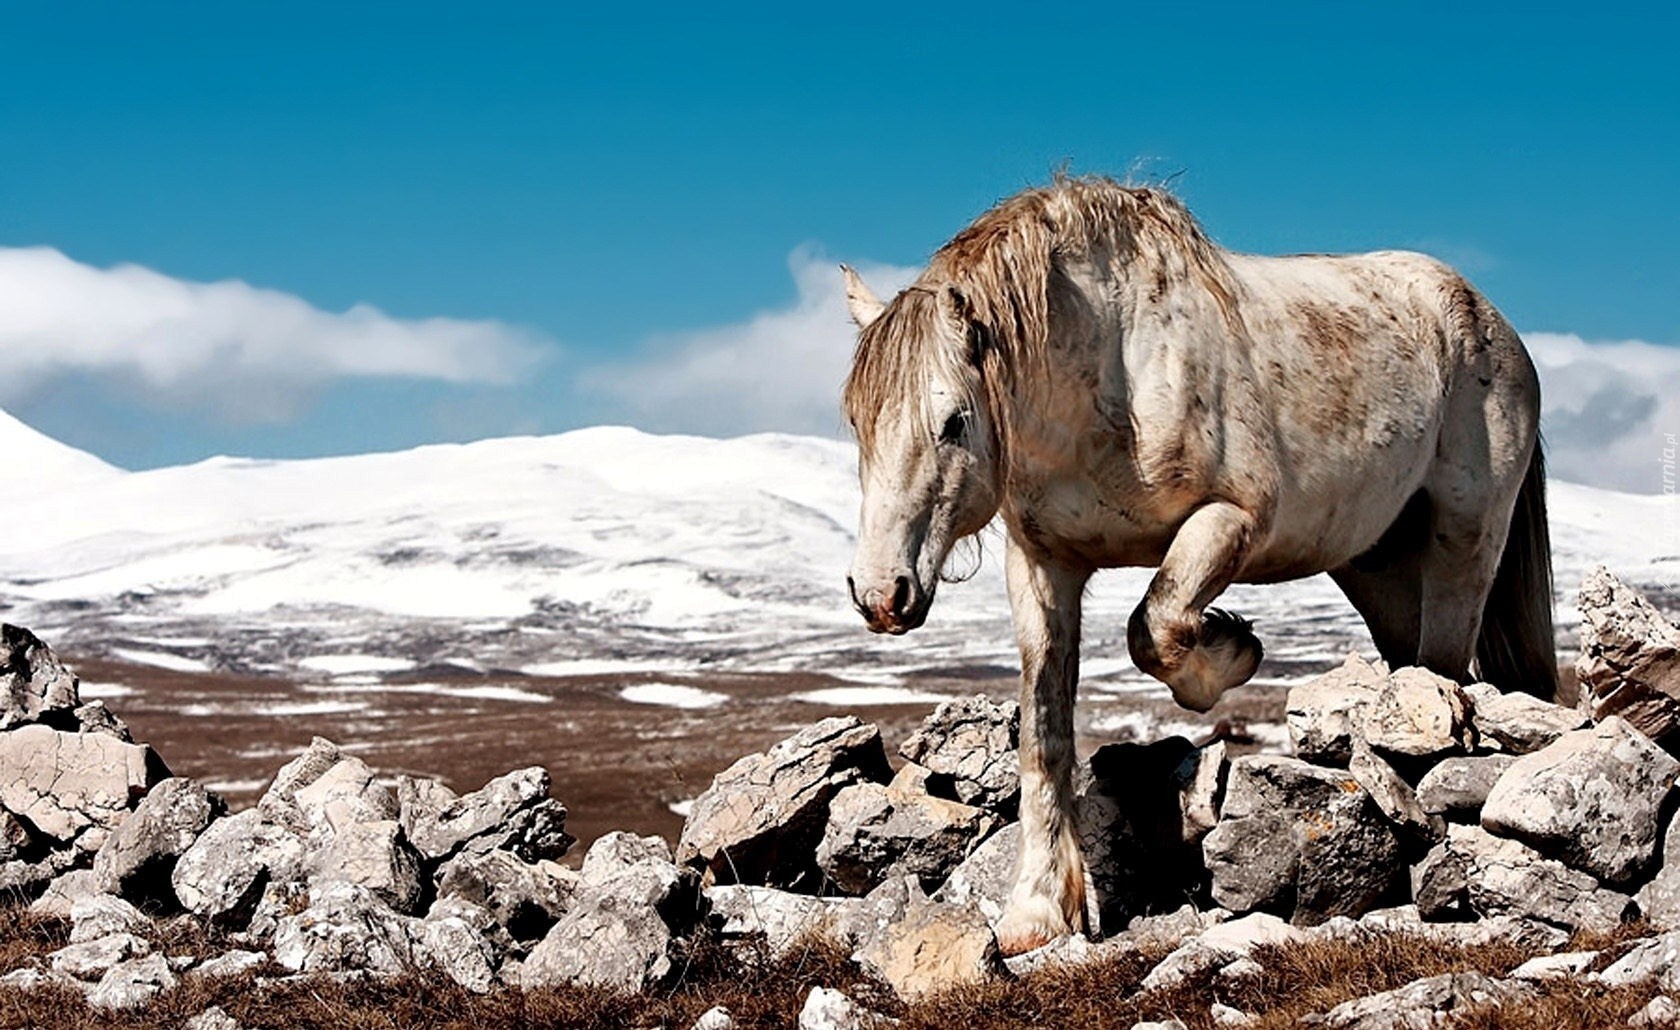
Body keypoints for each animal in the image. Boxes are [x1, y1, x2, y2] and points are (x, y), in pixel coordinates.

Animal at [846, 178, 1552, 954]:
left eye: (953, 422)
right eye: (857, 422)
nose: (882, 594)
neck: (1112, 370)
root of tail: (1488, 316)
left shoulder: (1232, 520)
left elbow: (1154, 626)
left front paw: (1232, 652)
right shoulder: (1041, 564)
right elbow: (1044, 733)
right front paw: (1037, 911)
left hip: (1466, 536)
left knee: (1446, 665)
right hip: (1378, 566)